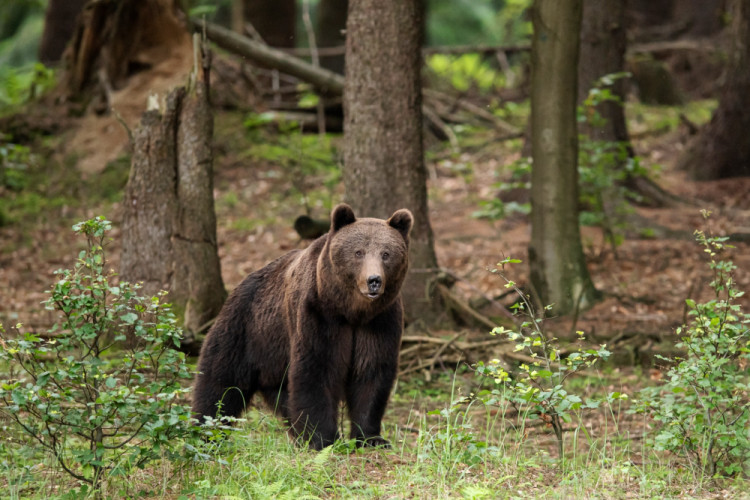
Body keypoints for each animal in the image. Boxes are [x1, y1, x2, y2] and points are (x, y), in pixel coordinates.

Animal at [191, 203, 414, 450]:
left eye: (386, 254)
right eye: (358, 252)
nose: (373, 280)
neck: (351, 311)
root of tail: (239, 283)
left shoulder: (380, 321)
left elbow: (372, 372)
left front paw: (371, 438)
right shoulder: (319, 314)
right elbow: (316, 369)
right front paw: (323, 438)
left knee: (283, 397)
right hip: (246, 330)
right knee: (219, 384)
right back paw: (206, 432)